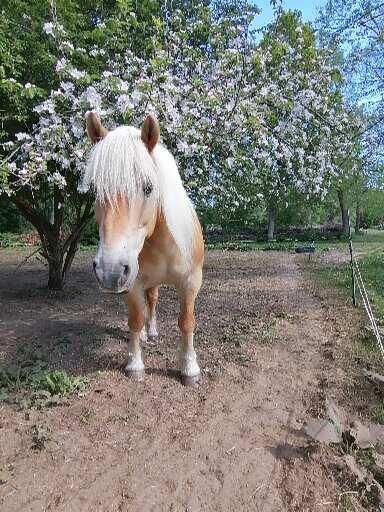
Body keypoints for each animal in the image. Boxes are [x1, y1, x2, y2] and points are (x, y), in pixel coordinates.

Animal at [83, 112, 206, 384]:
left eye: (148, 187)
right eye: (95, 189)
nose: (109, 271)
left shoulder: (191, 282)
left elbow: (187, 322)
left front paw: (190, 368)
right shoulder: (133, 283)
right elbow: (135, 319)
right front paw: (135, 364)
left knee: (154, 300)